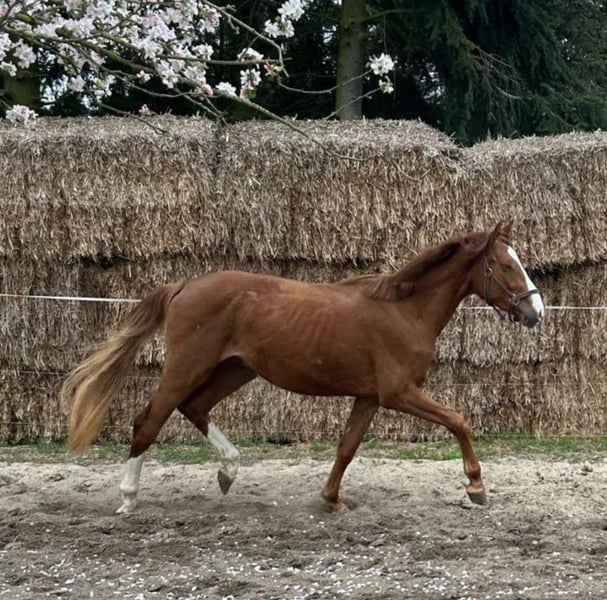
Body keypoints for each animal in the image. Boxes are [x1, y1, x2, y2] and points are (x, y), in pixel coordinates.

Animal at [61, 220, 544, 514]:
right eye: (506, 265)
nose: (536, 311)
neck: (404, 310)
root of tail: (183, 286)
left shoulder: (369, 397)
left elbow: (347, 447)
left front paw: (331, 500)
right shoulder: (398, 393)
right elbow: (459, 421)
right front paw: (476, 488)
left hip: (235, 369)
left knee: (194, 409)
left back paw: (229, 471)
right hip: (187, 366)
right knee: (149, 420)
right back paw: (128, 499)